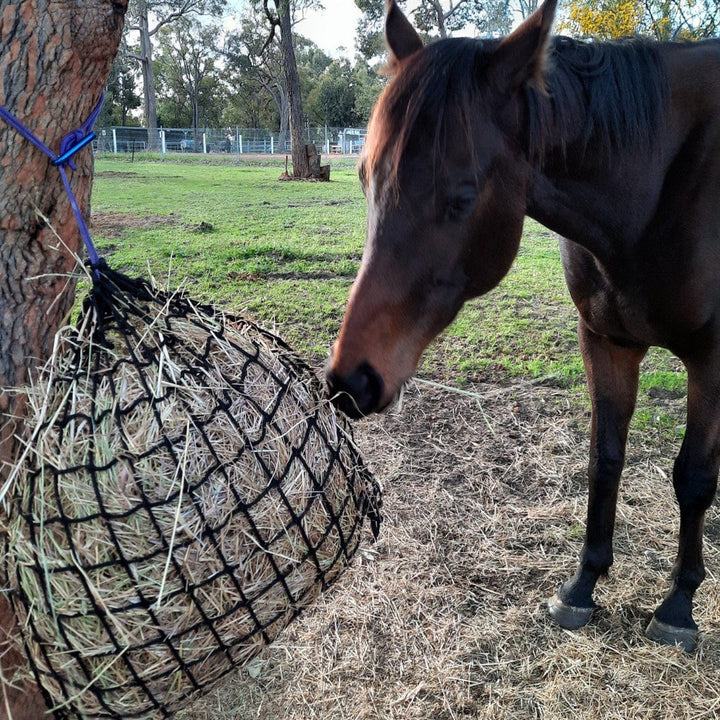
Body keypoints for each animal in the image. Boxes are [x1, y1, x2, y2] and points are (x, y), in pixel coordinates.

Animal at [324, 0, 720, 652]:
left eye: (461, 197)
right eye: (364, 179)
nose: (350, 381)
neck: (660, 187)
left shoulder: (711, 360)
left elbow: (693, 477)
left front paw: (679, 606)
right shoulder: (606, 342)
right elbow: (605, 459)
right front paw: (582, 586)